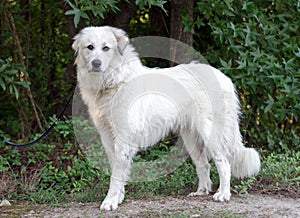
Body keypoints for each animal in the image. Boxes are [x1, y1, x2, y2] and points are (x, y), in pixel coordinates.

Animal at [72, 26, 260, 211]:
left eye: (106, 48)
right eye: (90, 47)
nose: (96, 64)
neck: (114, 80)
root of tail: (224, 78)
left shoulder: (124, 137)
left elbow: (116, 174)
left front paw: (110, 201)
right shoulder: (107, 136)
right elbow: (117, 171)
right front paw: (118, 198)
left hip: (210, 132)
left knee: (224, 163)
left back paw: (223, 194)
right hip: (191, 137)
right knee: (203, 164)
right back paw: (201, 192)